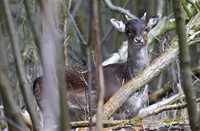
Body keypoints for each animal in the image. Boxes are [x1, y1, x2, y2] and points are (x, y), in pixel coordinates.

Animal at [33, 12, 161, 121]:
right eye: (127, 30)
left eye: (146, 28)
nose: (138, 39)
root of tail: (35, 82)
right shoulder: (116, 110)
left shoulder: (133, 113)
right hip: (48, 108)